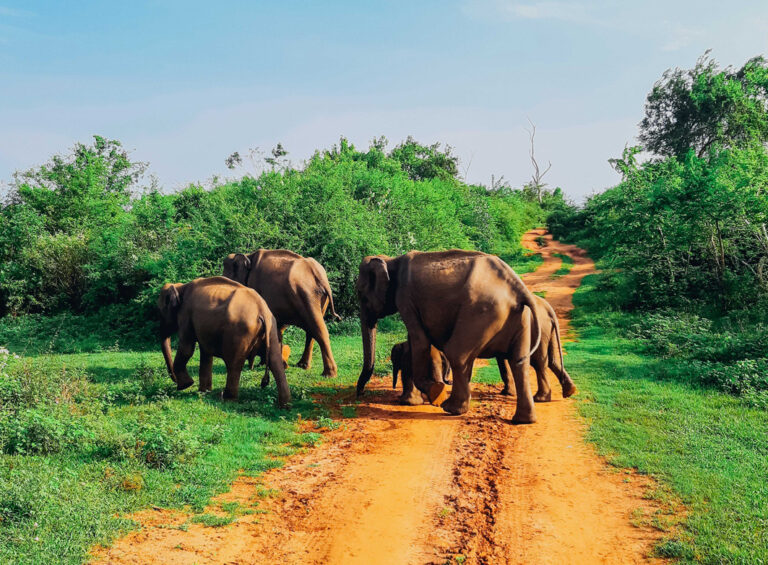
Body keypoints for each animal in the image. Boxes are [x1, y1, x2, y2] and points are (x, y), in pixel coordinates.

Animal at [158, 276, 290, 406]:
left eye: (160, 311)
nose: (176, 383)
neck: (180, 287)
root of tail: (261, 310)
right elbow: (205, 353)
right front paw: (203, 391)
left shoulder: (185, 314)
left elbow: (187, 349)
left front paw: (186, 385)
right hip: (271, 328)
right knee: (275, 361)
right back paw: (284, 405)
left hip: (239, 332)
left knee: (233, 364)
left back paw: (225, 398)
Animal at [356, 249, 540, 420]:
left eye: (361, 296)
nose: (360, 394)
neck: (390, 260)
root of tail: (517, 287)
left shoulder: (405, 298)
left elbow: (419, 340)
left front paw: (435, 392)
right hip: (518, 316)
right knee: (519, 361)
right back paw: (523, 420)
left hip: (482, 311)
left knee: (457, 353)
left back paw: (451, 408)